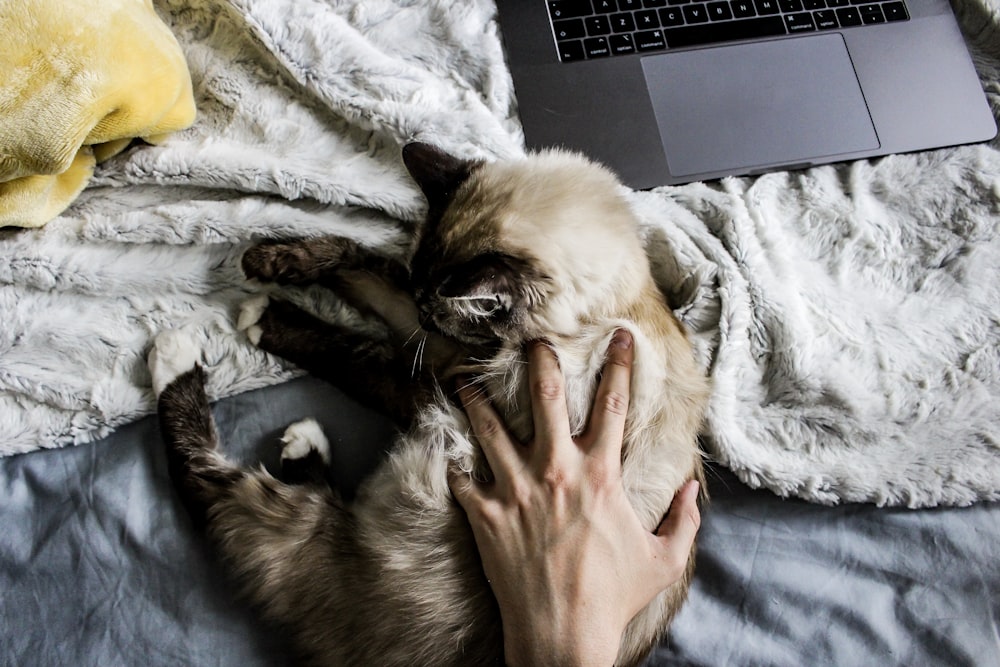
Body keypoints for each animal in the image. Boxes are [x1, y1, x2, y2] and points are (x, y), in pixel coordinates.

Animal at [150, 145, 712, 667]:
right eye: (422, 297)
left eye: (438, 312)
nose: (425, 317)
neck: (604, 311)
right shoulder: (437, 350)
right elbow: (359, 262)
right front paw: (269, 260)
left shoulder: (445, 382)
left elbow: (355, 352)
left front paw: (264, 313)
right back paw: (300, 443)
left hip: (297, 528)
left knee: (207, 483)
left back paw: (177, 355)